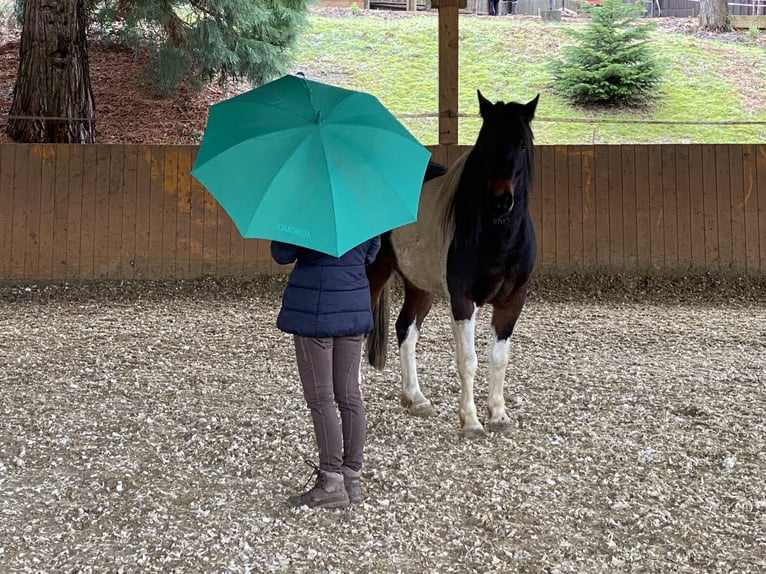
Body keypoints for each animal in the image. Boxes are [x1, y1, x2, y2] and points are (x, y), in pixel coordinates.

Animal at [365, 90, 539, 438]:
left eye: (522, 145)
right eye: (484, 144)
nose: (501, 201)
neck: (496, 236)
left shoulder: (513, 301)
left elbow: (499, 358)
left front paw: (498, 415)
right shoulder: (463, 300)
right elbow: (468, 359)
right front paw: (470, 421)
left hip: (420, 286)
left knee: (406, 329)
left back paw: (415, 398)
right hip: (374, 273)